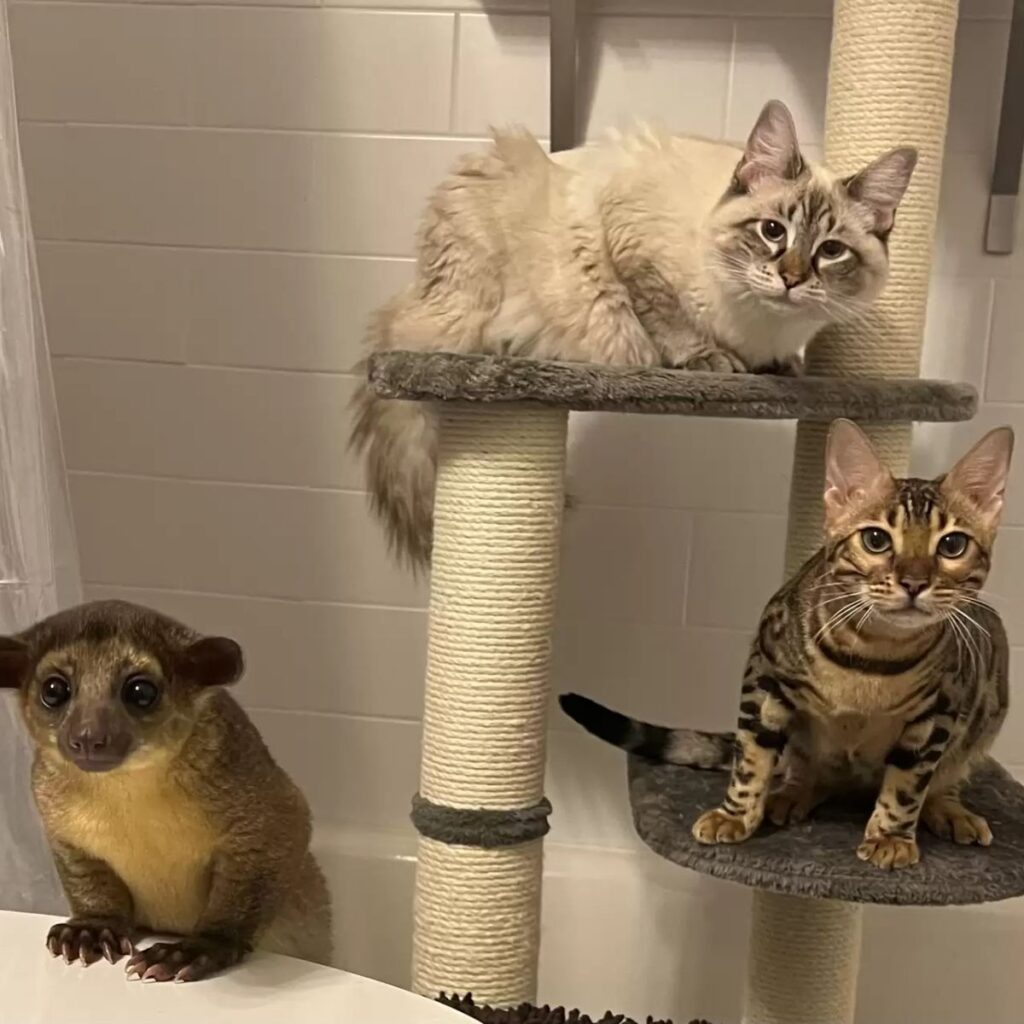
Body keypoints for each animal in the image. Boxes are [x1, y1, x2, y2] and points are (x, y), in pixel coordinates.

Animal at [354, 101, 921, 569]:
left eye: (831, 251)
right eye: (772, 231)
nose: (792, 278)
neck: (760, 324)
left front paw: (783, 368)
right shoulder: (631, 244)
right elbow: (667, 317)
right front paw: (709, 361)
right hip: (464, 302)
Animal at [565, 419, 1011, 868]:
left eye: (952, 545)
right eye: (876, 540)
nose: (914, 582)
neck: (873, 658)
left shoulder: (938, 713)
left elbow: (908, 784)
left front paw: (891, 836)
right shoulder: (764, 675)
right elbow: (751, 758)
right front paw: (736, 814)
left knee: (943, 778)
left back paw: (950, 811)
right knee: (805, 770)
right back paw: (790, 795)